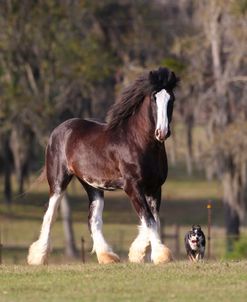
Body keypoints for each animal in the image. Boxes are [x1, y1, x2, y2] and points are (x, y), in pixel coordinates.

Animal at [28, 66, 178, 264]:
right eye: (154, 98)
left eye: (171, 99)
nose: (162, 132)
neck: (138, 142)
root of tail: (58, 130)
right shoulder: (133, 187)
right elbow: (149, 219)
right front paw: (161, 255)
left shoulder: (154, 187)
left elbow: (154, 219)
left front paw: (138, 253)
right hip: (58, 182)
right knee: (49, 215)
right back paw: (38, 257)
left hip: (93, 186)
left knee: (93, 219)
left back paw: (107, 256)